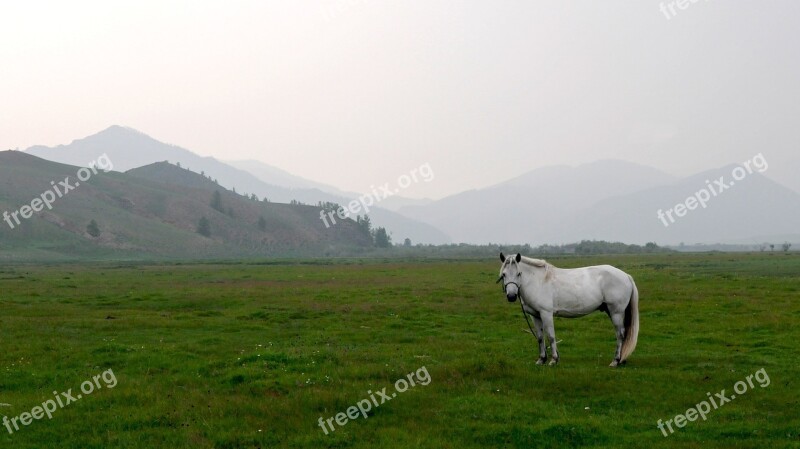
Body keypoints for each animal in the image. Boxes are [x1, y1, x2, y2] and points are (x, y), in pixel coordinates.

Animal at [496, 250, 640, 366]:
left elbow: (551, 336)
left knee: (620, 334)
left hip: (616, 312)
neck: (538, 281)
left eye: (519, 273)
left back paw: (615, 361)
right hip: (612, 312)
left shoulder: (546, 313)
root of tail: (626, 276)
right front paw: (541, 359)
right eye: (504, 274)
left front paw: (553, 360)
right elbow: (540, 337)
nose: (511, 296)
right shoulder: (535, 315)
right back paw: (622, 359)